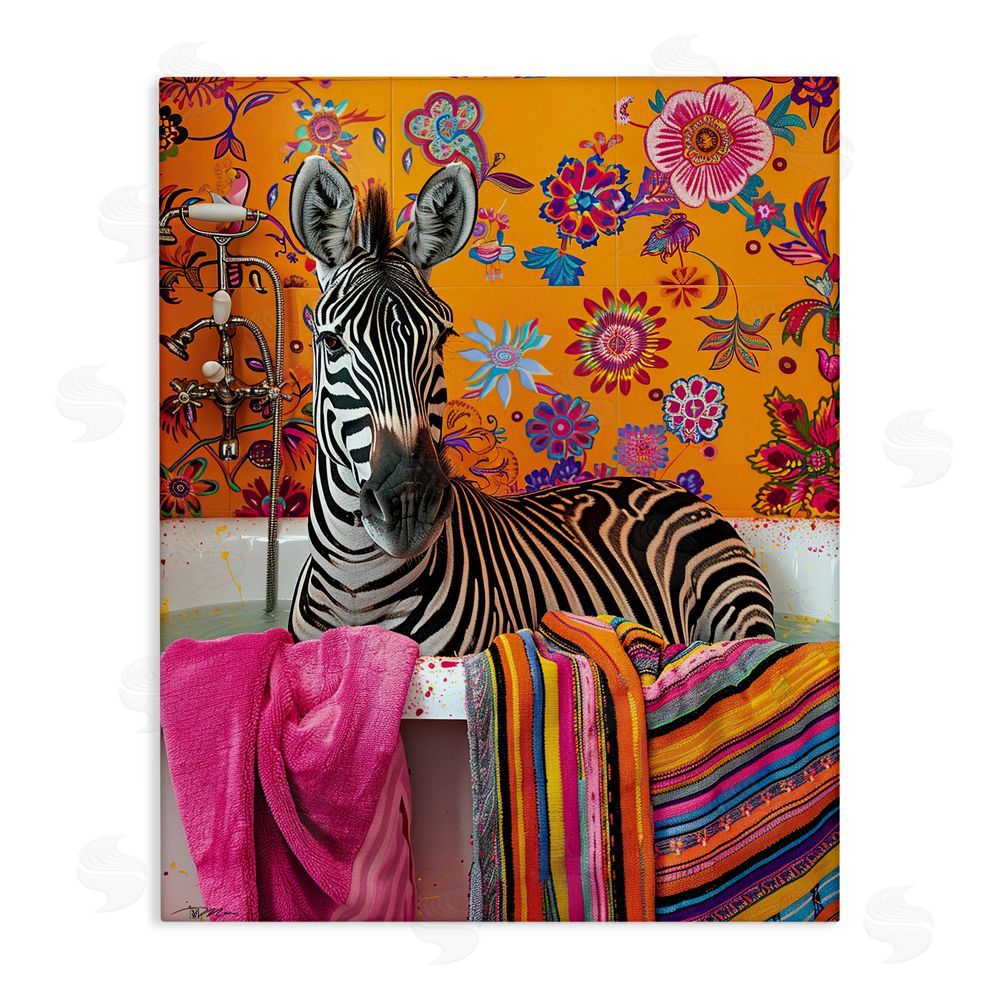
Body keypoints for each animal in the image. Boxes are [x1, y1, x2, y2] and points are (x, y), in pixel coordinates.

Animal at [287, 154, 774, 655]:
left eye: (442, 339)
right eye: (331, 342)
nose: (410, 504)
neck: (357, 585)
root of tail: (668, 485)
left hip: (737, 601)